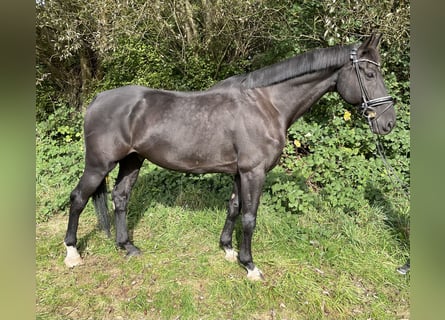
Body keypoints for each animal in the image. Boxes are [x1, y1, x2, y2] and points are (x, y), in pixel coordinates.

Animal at [63, 33, 396, 280]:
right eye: (369, 73)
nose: (388, 122)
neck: (266, 105)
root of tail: (98, 100)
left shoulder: (239, 172)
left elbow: (234, 208)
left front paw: (227, 250)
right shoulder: (254, 171)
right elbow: (249, 217)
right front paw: (250, 266)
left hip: (132, 160)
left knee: (120, 198)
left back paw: (127, 246)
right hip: (98, 165)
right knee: (78, 198)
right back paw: (72, 253)